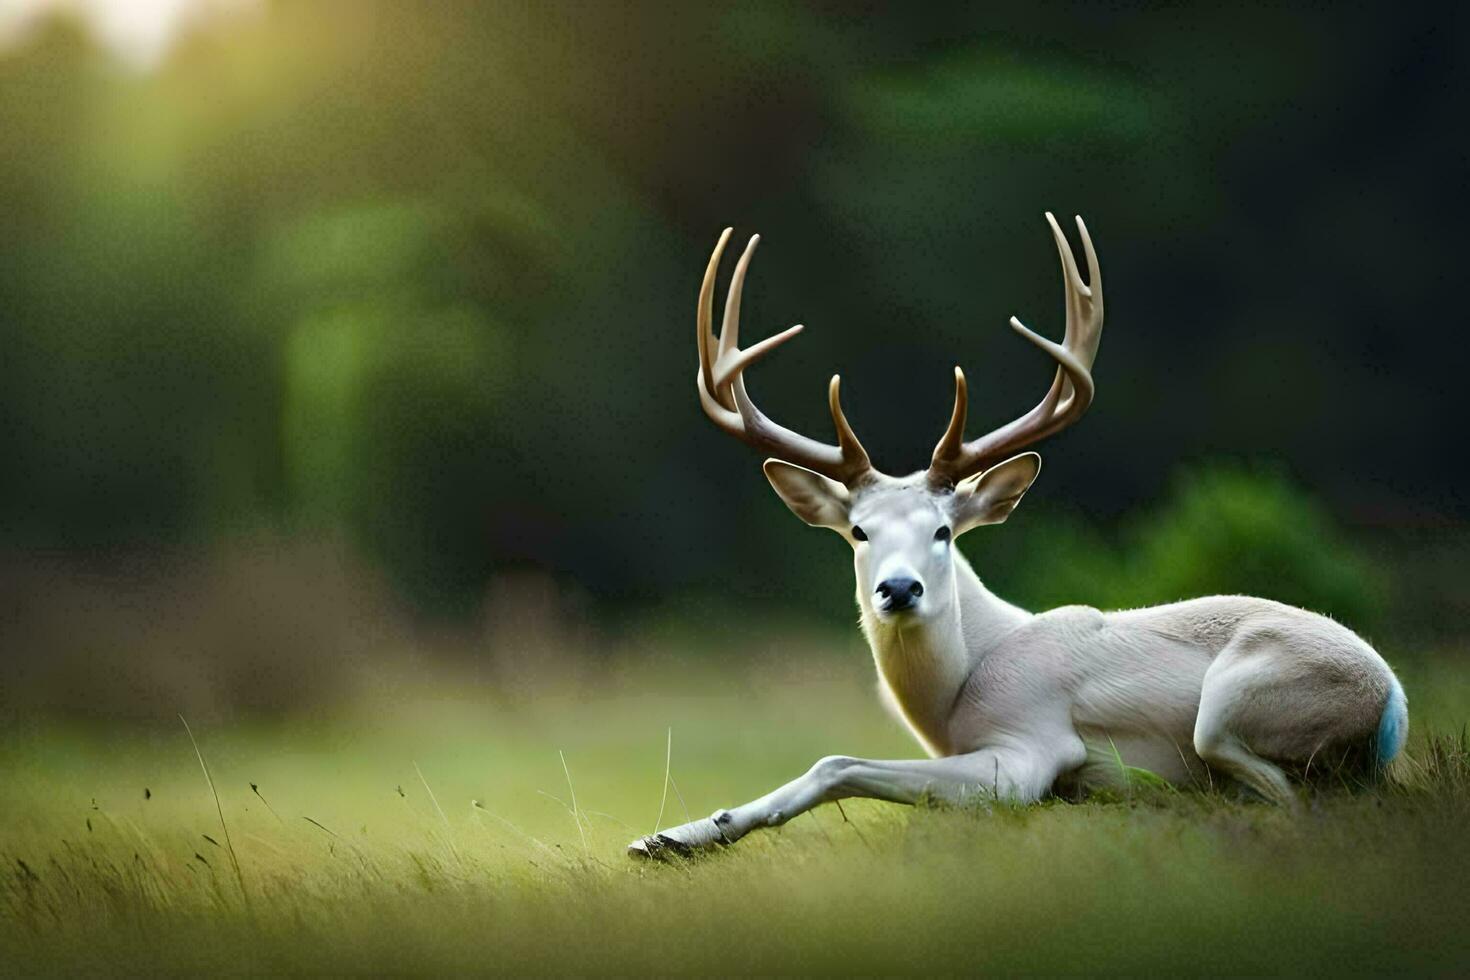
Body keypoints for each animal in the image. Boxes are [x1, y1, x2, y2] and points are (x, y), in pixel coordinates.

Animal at [626, 213, 1405, 858]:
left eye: (944, 530)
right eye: (858, 531)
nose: (899, 589)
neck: (958, 690)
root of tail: (1394, 703)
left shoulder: (1026, 750)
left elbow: (837, 762)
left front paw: (682, 836)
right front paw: (671, 836)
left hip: (1241, 700)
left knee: (1281, 793)